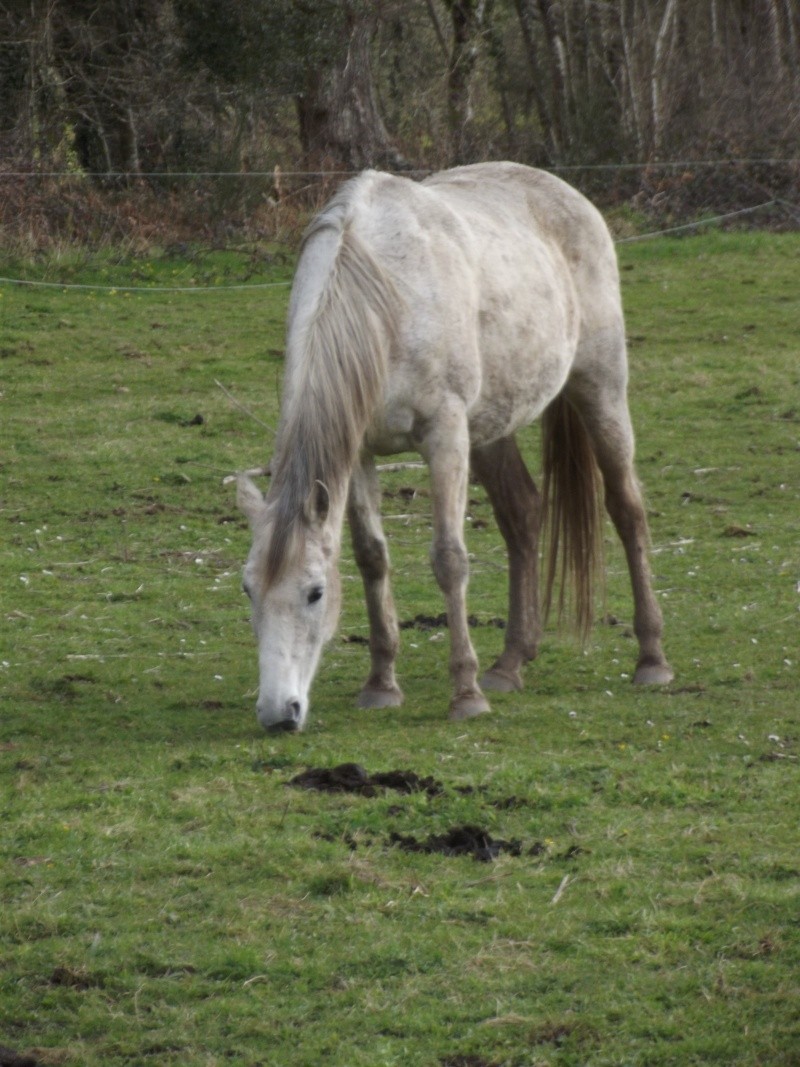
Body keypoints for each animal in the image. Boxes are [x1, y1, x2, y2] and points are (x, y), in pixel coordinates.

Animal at [240, 162, 678, 734]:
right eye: (249, 590)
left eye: (315, 593)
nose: (279, 713)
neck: (384, 302)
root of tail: (567, 193)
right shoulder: (359, 451)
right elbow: (371, 556)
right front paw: (381, 684)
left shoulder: (444, 435)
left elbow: (450, 559)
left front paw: (465, 694)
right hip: (491, 428)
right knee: (523, 515)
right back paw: (511, 662)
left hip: (599, 388)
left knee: (627, 509)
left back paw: (651, 658)